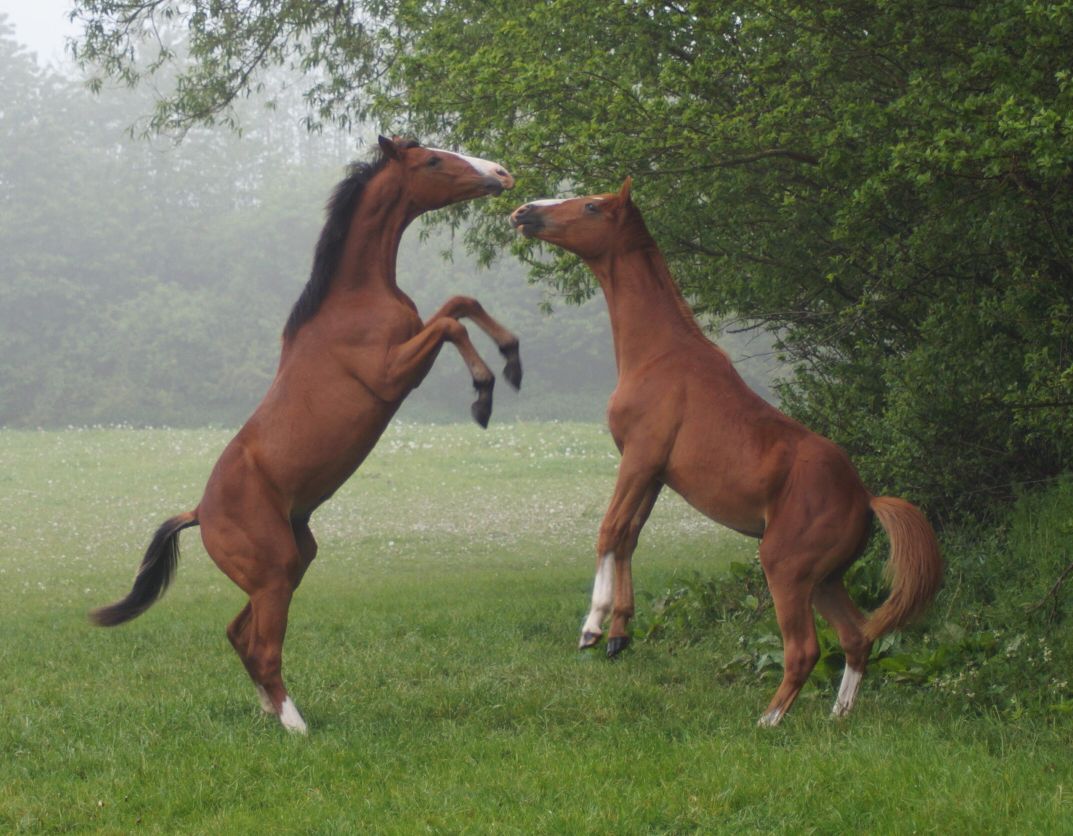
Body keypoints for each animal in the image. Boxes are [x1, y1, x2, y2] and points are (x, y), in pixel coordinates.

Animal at [92, 135, 519, 734]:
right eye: (433, 160)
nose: (501, 174)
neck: (357, 298)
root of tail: (200, 513)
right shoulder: (394, 373)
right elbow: (451, 321)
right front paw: (485, 392)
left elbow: (461, 303)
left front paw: (512, 357)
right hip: (273, 574)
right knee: (262, 647)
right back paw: (296, 726)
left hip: (293, 563)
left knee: (239, 634)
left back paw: (271, 711)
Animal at [508, 181, 939, 725]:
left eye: (590, 206)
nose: (524, 212)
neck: (660, 355)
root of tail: (866, 499)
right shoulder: (654, 475)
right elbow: (629, 537)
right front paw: (620, 635)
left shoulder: (639, 459)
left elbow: (608, 530)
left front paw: (593, 626)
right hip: (824, 580)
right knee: (856, 639)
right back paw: (836, 718)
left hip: (785, 570)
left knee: (805, 650)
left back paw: (768, 722)